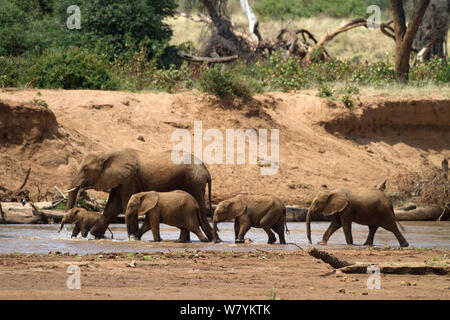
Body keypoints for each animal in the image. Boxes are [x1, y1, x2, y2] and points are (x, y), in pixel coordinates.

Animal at [65, 149, 218, 241]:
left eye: (85, 169)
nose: (69, 235)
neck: (109, 154)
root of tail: (206, 171)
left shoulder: (129, 178)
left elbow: (124, 205)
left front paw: (133, 238)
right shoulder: (120, 180)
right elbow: (112, 208)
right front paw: (97, 235)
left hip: (194, 183)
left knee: (201, 215)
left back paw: (213, 240)